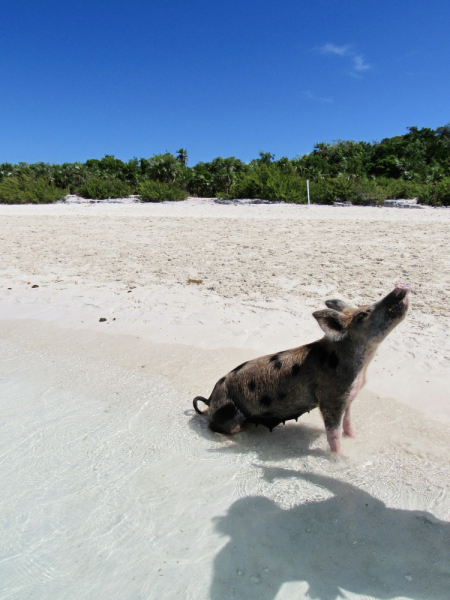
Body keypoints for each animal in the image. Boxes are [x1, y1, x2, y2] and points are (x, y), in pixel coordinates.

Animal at [193, 284, 412, 452]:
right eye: (363, 315)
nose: (399, 289)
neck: (363, 365)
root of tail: (211, 398)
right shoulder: (331, 399)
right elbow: (334, 433)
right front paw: (340, 458)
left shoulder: (349, 396)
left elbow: (348, 424)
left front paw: (354, 439)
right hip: (230, 415)